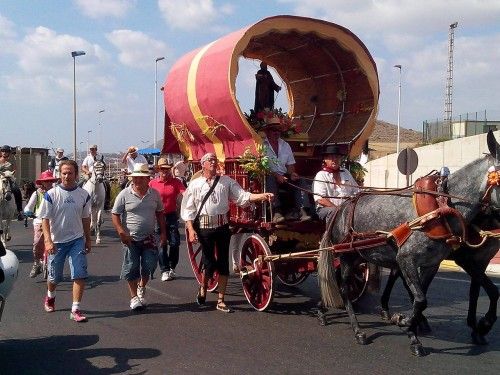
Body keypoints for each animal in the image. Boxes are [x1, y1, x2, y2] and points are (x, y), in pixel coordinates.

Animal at [318, 137, 498, 356]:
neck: (440, 206)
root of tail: (340, 209)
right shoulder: (410, 259)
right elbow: (420, 298)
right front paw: (405, 322)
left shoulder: (435, 263)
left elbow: (423, 298)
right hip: (346, 256)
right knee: (342, 287)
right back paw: (356, 328)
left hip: (362, 255)